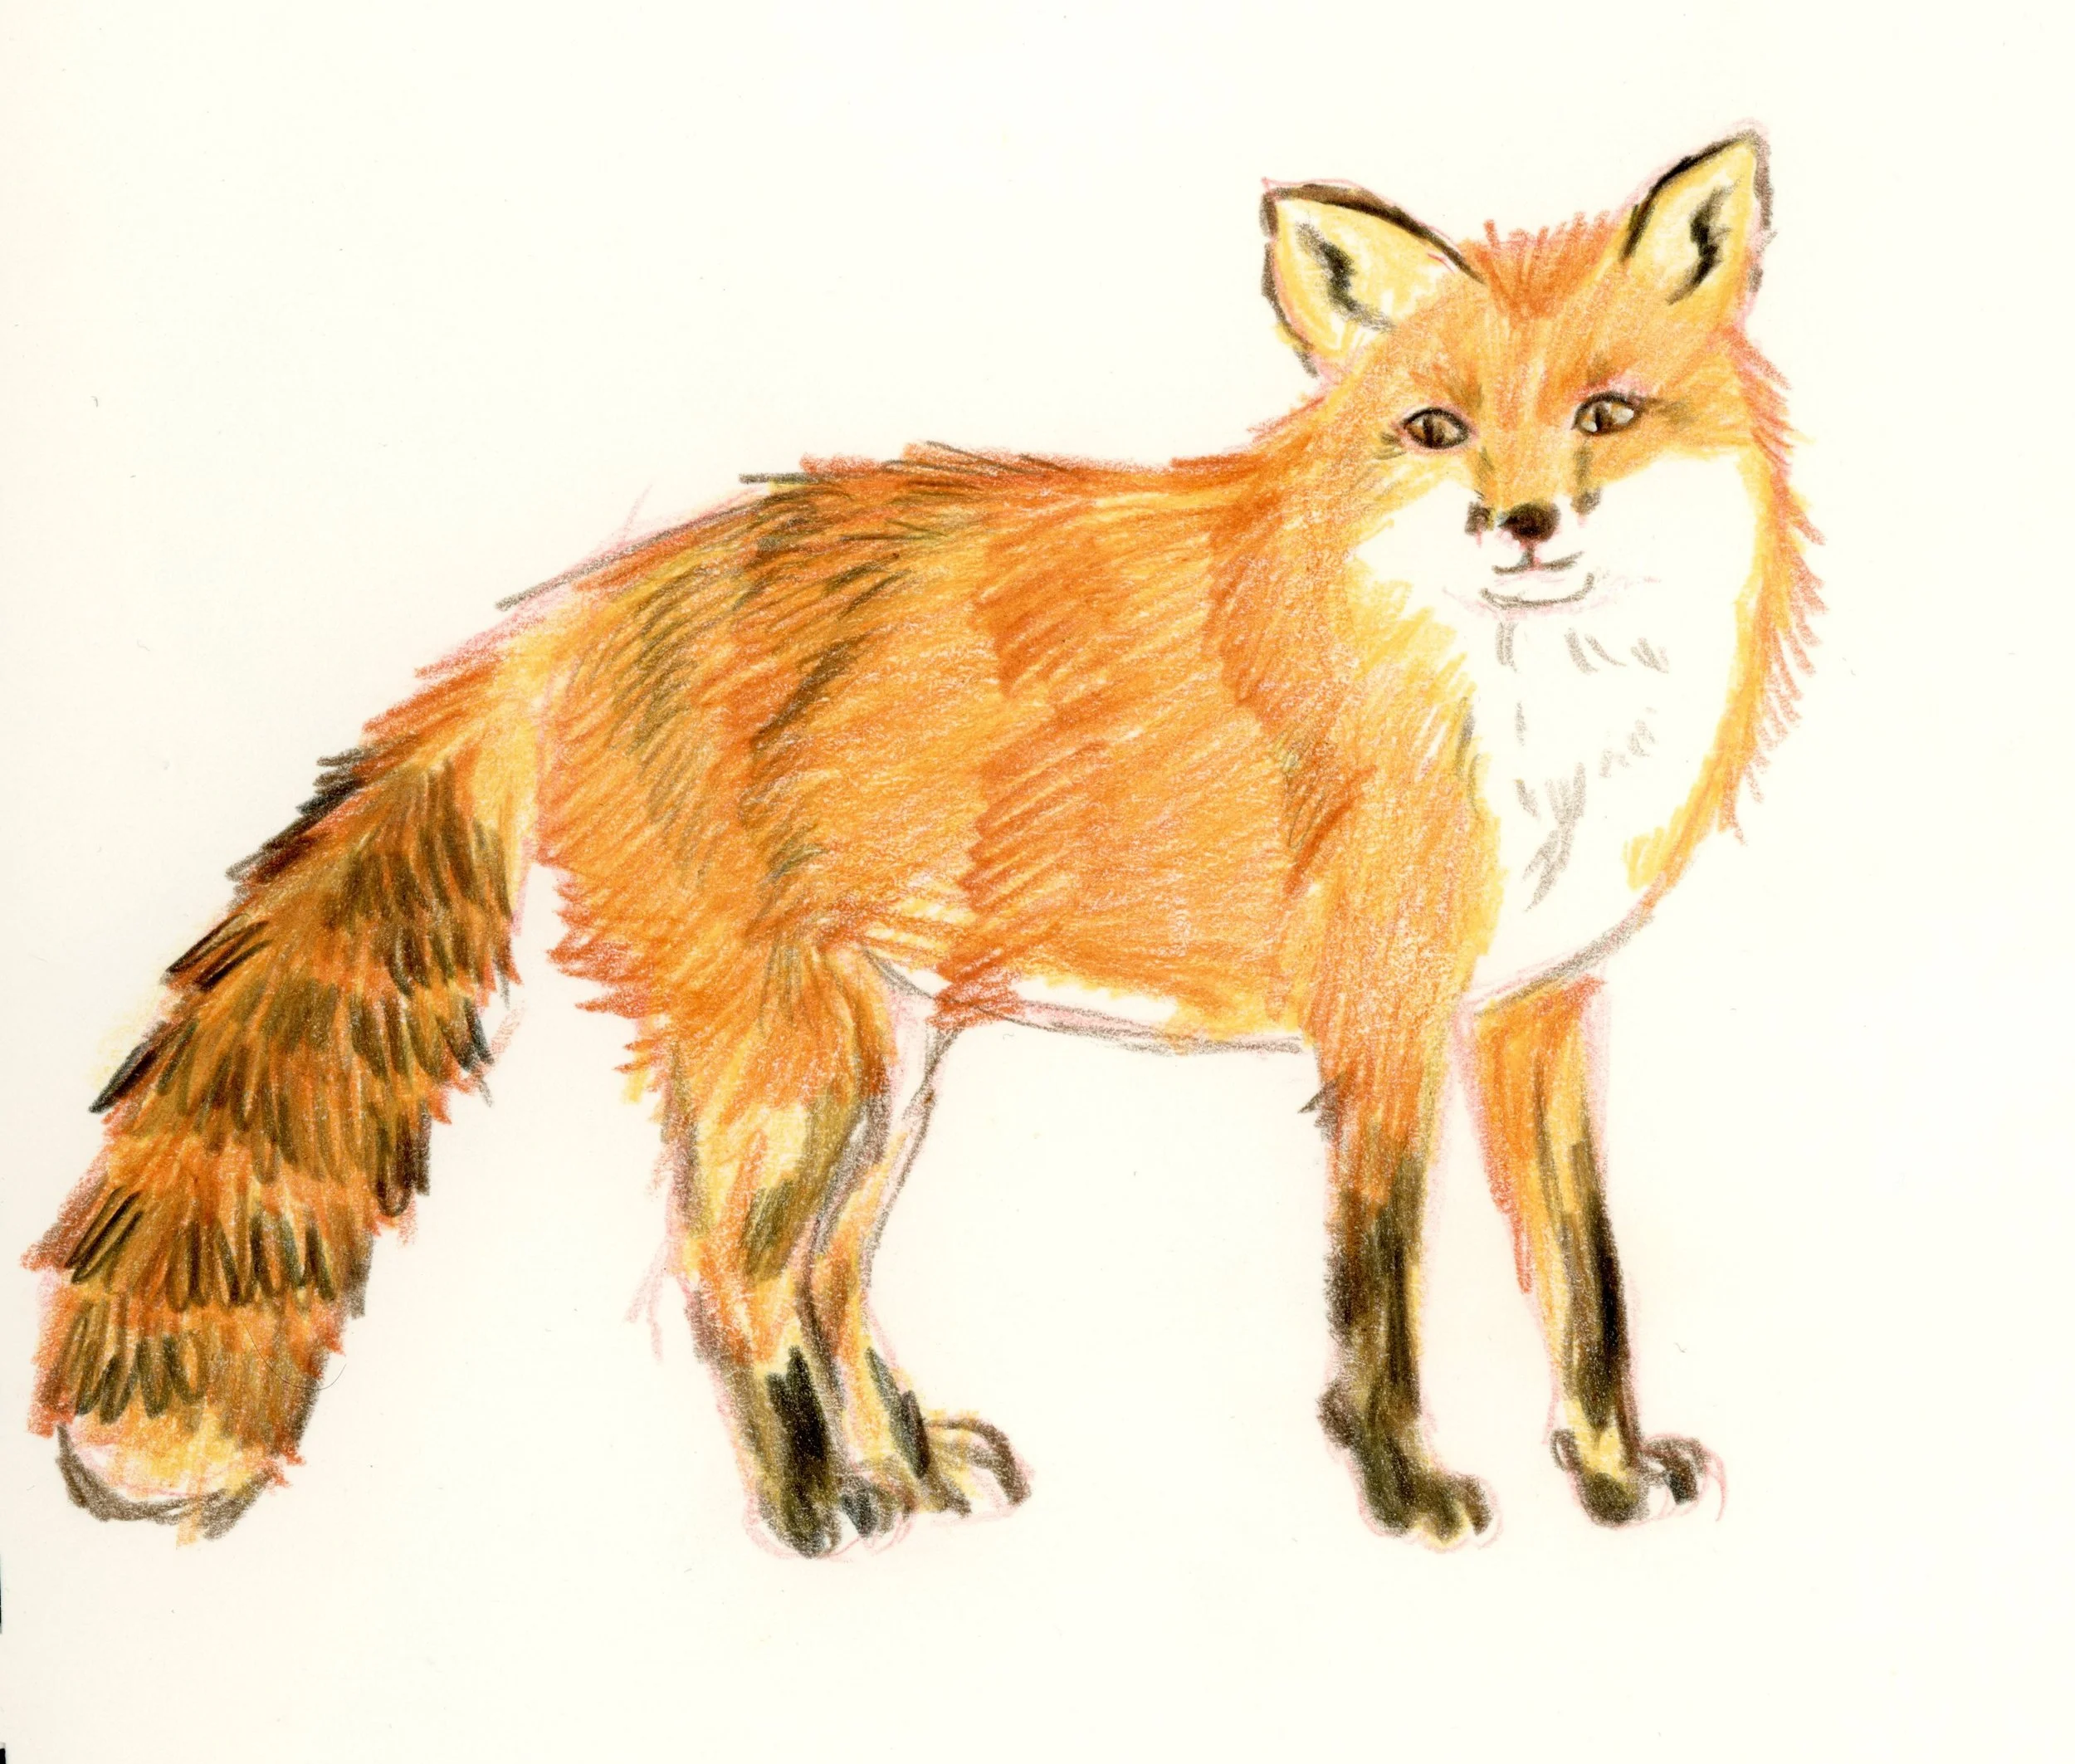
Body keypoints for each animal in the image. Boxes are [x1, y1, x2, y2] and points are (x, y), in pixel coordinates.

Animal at [31, 132, 1816, 1553]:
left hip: (883, 1068)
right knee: (730, 1276)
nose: (1522, 522)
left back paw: (896, 1464)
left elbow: (1586, 1280)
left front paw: (1608, 1474)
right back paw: (811, 1509)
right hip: (806, 1061)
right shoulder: (1378, 1021)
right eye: (1439, 428)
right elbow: (1380, 1302)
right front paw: (1404, 1489)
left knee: (822, 1281)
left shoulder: (1535, 1013)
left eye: (1606, 414)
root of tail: (584, 604)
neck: (1533, 719)